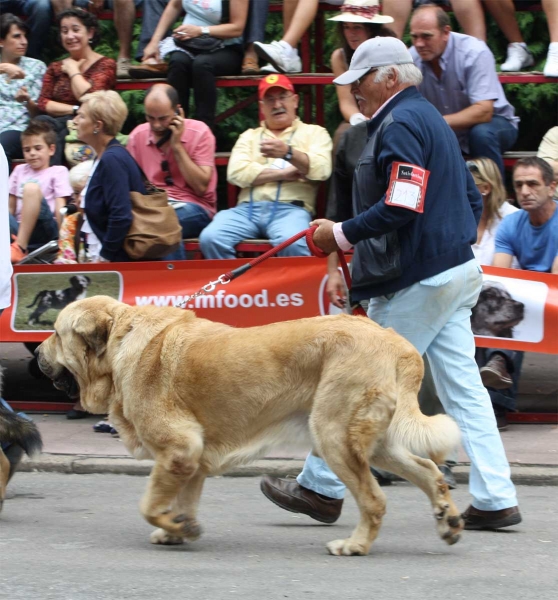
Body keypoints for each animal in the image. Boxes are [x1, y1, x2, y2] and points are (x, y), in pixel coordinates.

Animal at [38, 296, 464, 556]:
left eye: (57, 333)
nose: (39, 352)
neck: (118, 346)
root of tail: (397, 343)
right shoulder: (191, 460)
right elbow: (182, 500)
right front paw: (178, 528)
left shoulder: (179, 449)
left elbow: (149, 504)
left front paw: (175, 526)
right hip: (374, 442)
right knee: (428, 471)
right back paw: (449, 521)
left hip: (334, 437)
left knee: (374, 500)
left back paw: (355, 545)